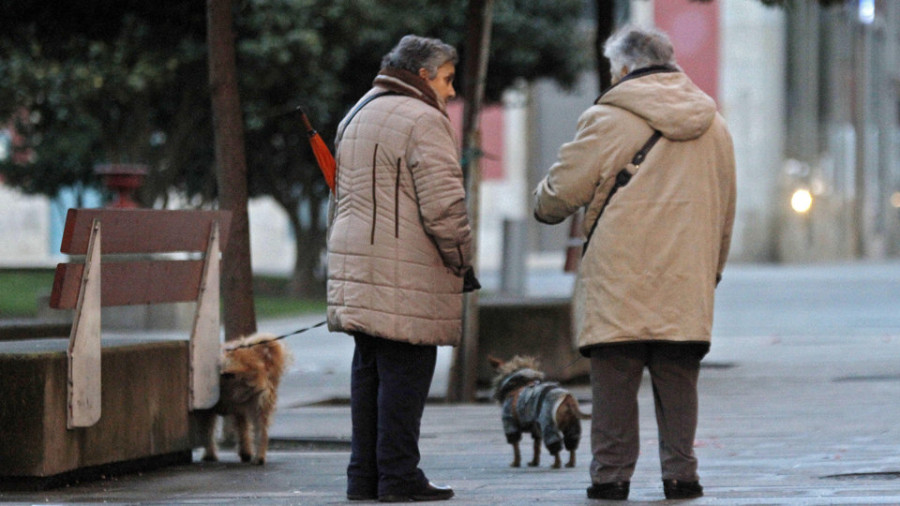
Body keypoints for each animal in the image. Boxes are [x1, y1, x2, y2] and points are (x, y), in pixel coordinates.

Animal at [194, 332, 290, 466]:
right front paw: (246, 453)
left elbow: (208, 432)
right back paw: (259, 457)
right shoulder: (239, 410)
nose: (261, 389)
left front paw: (210, 455)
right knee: (262, 431)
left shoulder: (209, 410)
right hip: (260, 407)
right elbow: (243, 431)